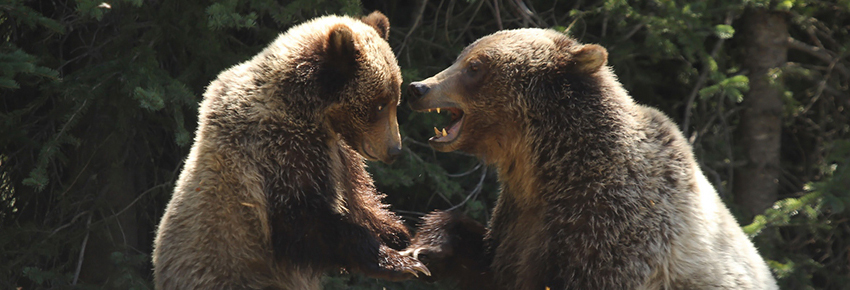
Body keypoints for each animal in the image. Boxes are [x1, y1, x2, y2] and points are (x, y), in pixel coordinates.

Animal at [152, 11, 428, 290]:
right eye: (380, 104)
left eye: (395, 99)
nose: (394, 149)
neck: (311, 112)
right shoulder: (275, 151)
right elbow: (301, 220)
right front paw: (400, 263)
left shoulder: (339, 154)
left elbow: (360, 200)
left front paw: (404, 236)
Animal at [404, 28, 776, 290]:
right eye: (462, 57)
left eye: (475, 66)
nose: (418, 87)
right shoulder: (519, 218)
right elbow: (489, 262)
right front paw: (429, 245)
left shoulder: (613, 228)